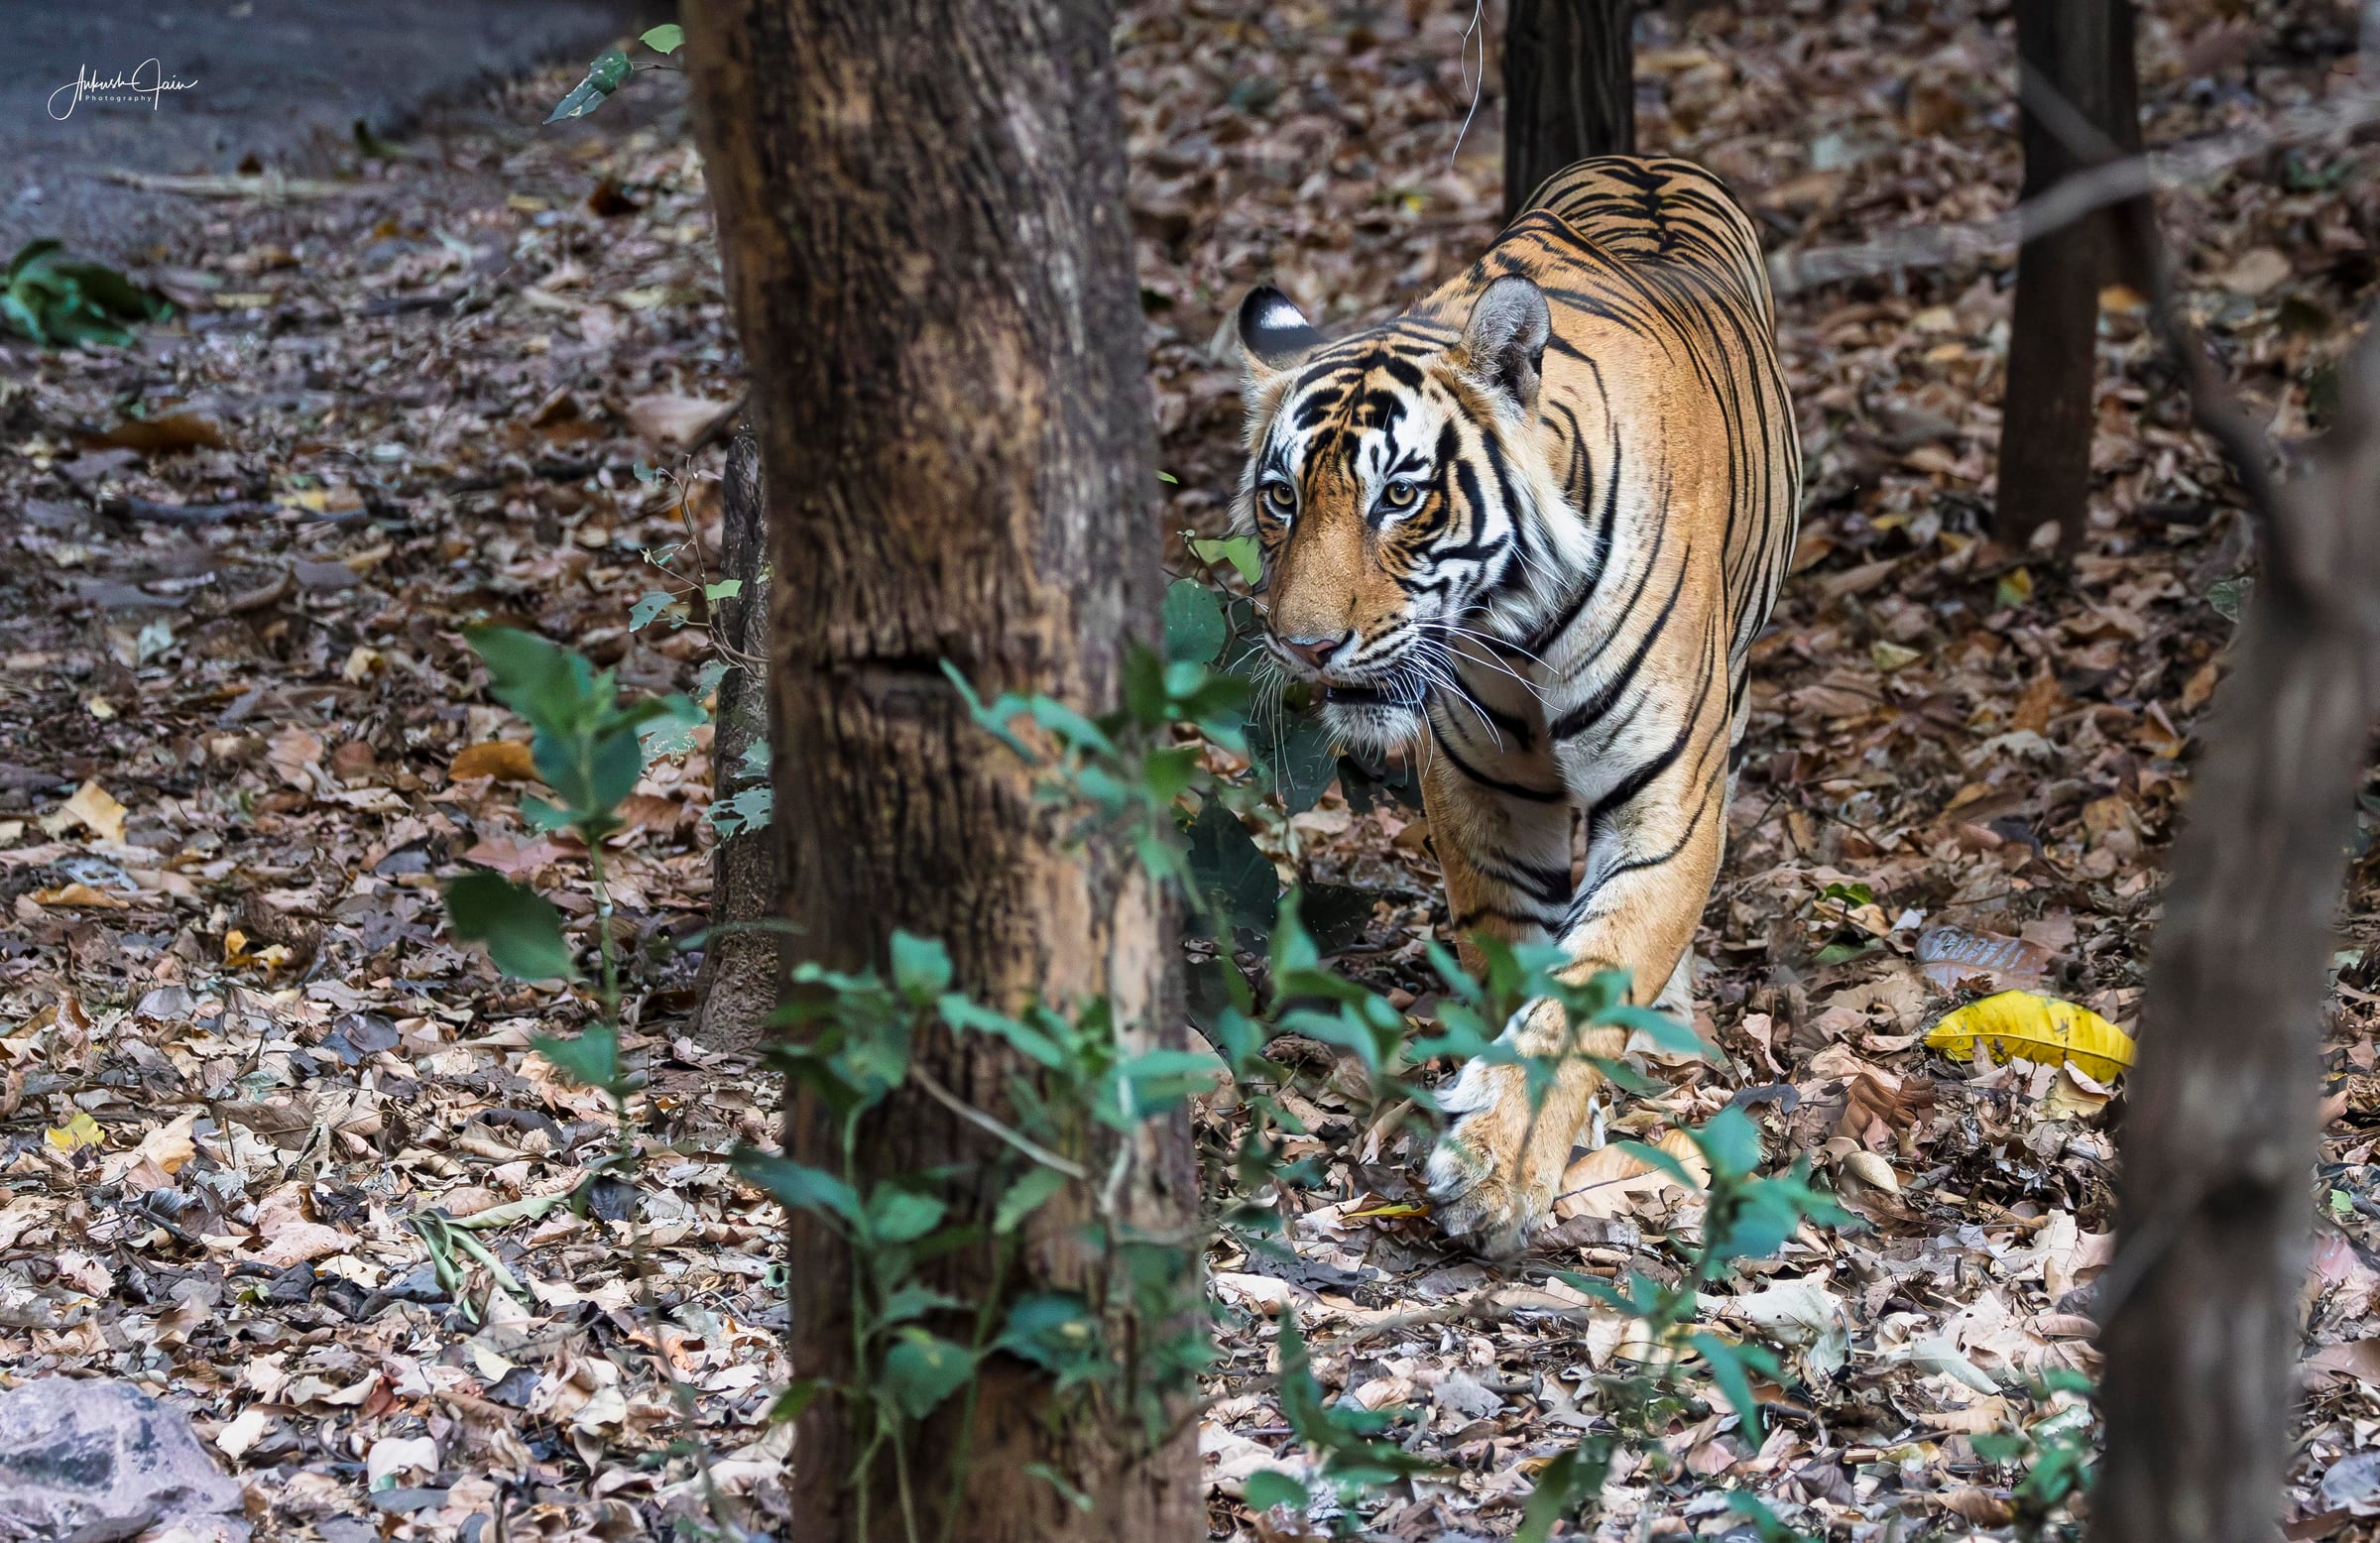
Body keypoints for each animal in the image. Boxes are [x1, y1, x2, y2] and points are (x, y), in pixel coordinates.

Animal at [1231, 156, 1801, 1255]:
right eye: (1282, 497)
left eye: (1399, 497)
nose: (1304, 644)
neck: (1513, 621)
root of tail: (1644, 159)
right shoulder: (1483, 791)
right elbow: (1518, 958)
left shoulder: (1666, 804)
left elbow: (1591, 980)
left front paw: (1498, 1172)